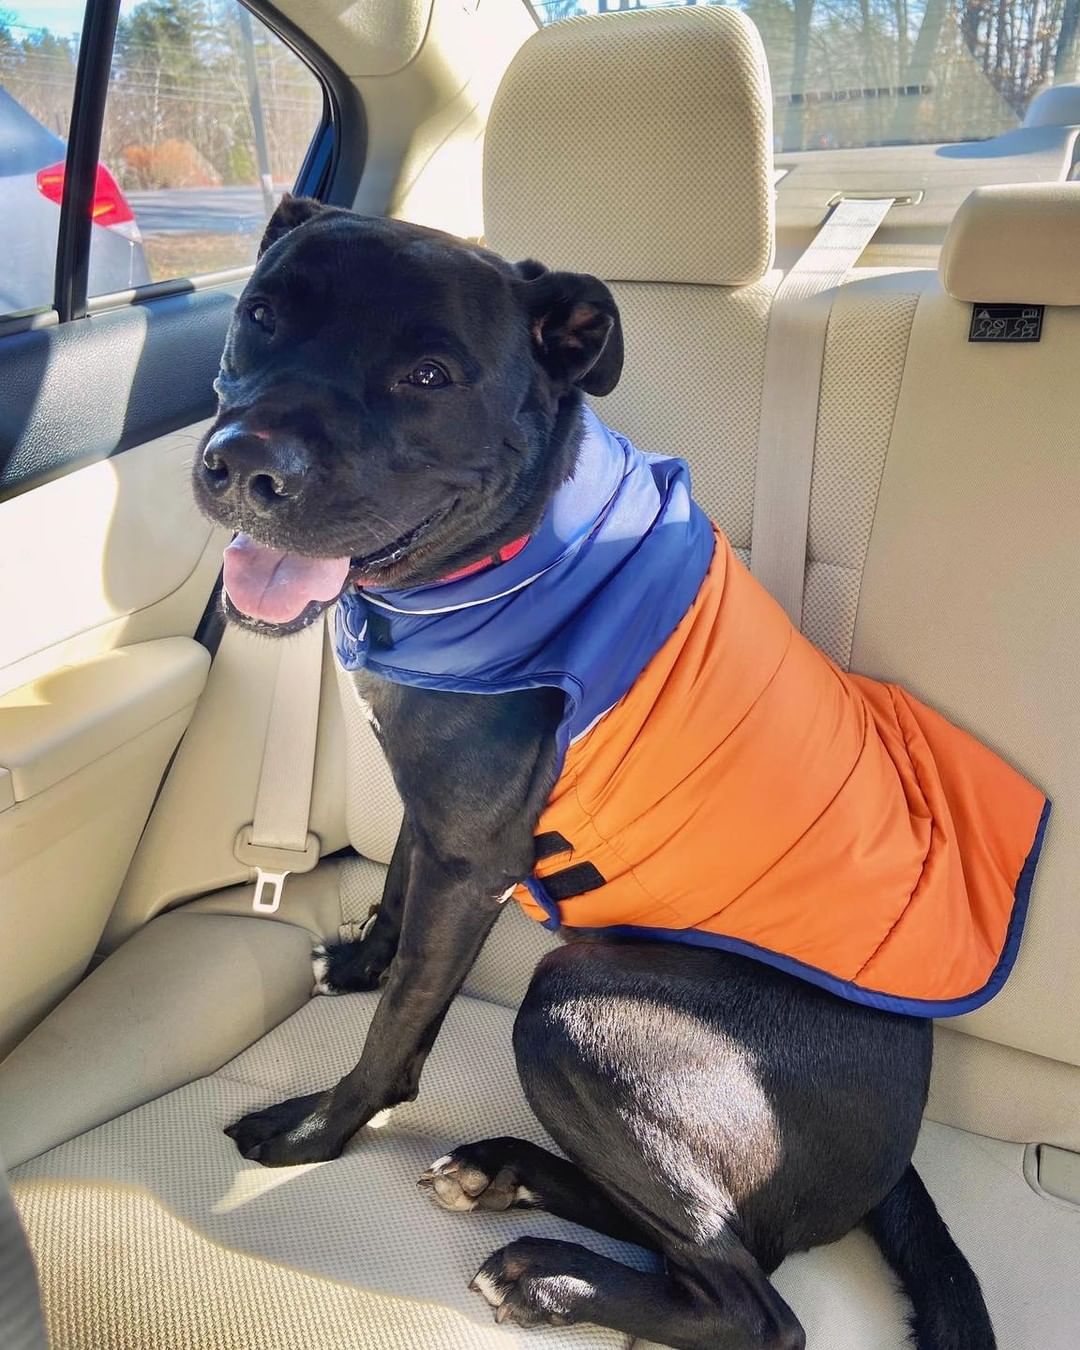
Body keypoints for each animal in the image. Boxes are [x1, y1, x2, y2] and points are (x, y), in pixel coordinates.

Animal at [194, 199, 993, 1350]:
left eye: (430, 375)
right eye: (261, 313)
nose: (247, 467)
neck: (511, 549)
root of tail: (901, 1160)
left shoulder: (473, 865)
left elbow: (398, 1029)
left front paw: (312, 1134)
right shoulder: (436, 807)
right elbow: (394, 889)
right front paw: (357, 962)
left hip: (575, 1005)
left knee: (755, 1301)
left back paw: (549, 1279)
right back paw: (502, 1171)